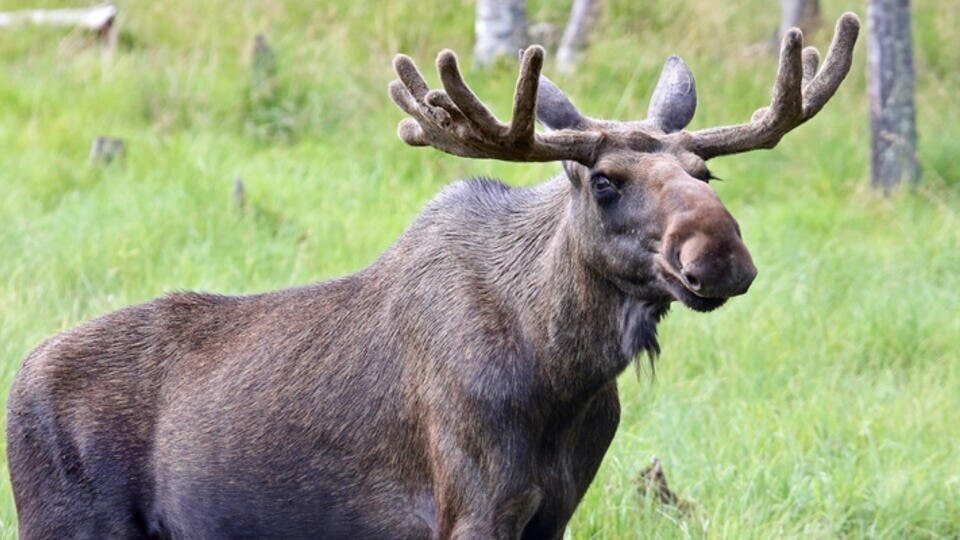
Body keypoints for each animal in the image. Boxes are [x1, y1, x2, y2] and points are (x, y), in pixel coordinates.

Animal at [5, 12, 864, 540]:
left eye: (705, 174)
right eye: (605, 180)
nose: (717, 254)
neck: (566, 373)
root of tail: (16, 381)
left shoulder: (554, 512)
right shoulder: (475, 509)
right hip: (68, 524)